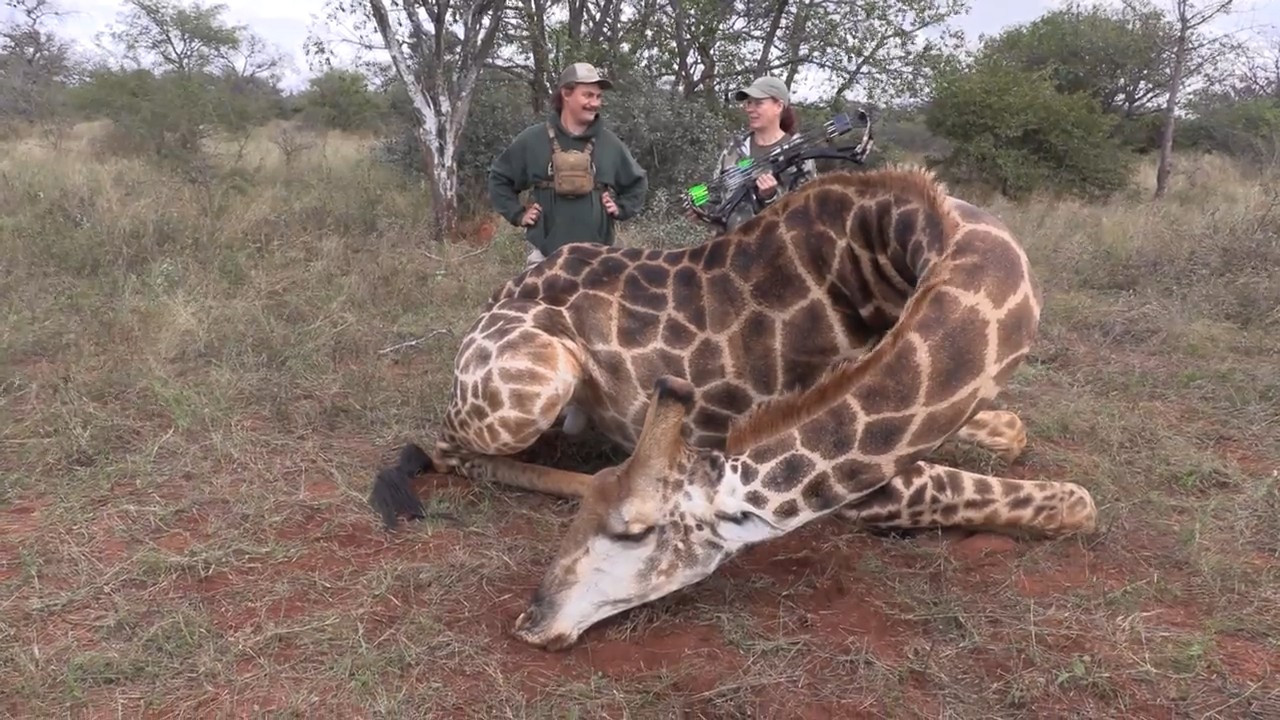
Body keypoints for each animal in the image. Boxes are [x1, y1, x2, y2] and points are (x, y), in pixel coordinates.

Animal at [370, 166, 1033, 530]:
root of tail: (496, 296)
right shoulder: (838, 472)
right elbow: (1007, 495)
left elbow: (1013, 428)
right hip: (537, 381)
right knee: (449, 451)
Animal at [496, 168, 1100, 651]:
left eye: (635, 531)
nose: (532, 622)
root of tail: (512, 284)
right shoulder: (874, 486)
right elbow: (1078, 501)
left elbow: (1022, 441)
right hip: (530, 395)